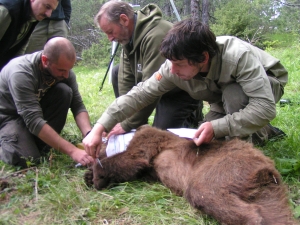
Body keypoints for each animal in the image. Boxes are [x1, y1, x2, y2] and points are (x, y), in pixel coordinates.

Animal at [84, 125, 296, 224]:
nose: (87, 158)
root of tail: (267, 168)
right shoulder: (149, 170)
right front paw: (89, 175)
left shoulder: (149, 140)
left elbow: (133, 158)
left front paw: (96, 175)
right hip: (261, 187)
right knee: (274, 210)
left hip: (224, 167)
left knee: (204, 192)